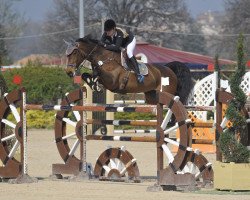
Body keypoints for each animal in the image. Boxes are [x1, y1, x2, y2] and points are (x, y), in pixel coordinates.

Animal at [65, 35, 193, 105]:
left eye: (74, 53)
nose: (69, 72)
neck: (104, 59)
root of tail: (169, 69)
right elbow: (85, 75)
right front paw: (93, 84)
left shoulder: (112, 82)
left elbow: (99, 76)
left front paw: (96, 84)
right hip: (151, 95)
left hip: (166, 92)